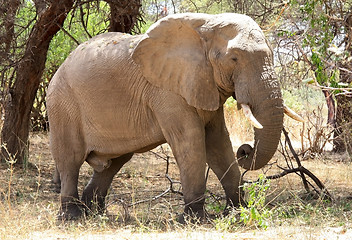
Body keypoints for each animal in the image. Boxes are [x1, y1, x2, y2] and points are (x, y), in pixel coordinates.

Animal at [46, 12, 302, 220]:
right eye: (234, 59)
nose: (245, 150)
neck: (206, 24)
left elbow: (218, 142)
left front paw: (237, 211)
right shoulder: (167, 91)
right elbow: (191, 141)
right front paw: (194, 219)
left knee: (114, 162)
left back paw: (94, 212)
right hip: (62, 104)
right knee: (70, 160)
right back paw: (72, 216)